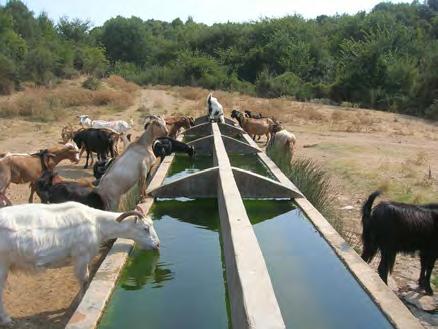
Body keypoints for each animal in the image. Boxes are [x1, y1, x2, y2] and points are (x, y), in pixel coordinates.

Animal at [0, 201, 159, 324]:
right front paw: (78, 302)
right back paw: (7, 319)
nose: (157, 244)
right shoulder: (81, 257)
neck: (97, 223)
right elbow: (84, 280)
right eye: (145, 228)